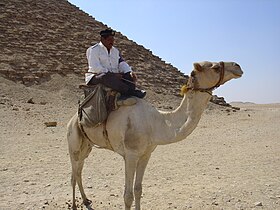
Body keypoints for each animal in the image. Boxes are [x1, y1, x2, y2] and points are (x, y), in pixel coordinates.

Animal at [66, 60, 243, 209]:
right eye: (215, 67)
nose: (238, 66)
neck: (155, 123)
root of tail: (74, 118)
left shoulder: (146, 154)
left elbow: (138, 190)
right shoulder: (130, 154)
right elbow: (127, 196)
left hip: (87, 145)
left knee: (79, 170)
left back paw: (86, 200)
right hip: (73, 141)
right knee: (73, 174)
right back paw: (74, 205)